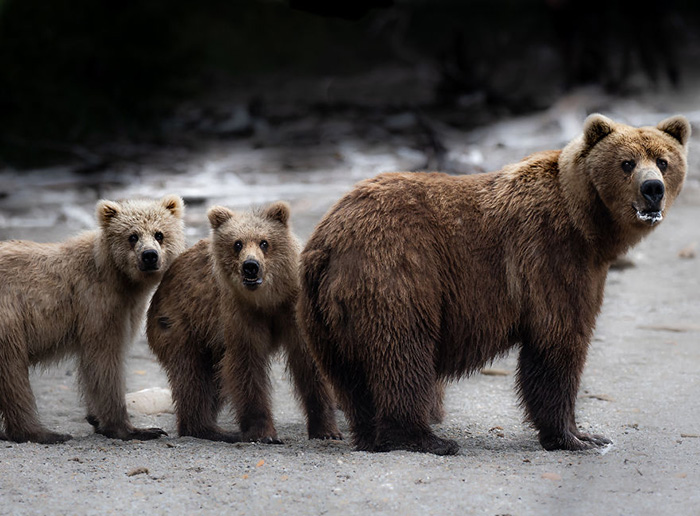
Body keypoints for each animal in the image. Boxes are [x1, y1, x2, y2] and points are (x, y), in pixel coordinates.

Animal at [296, 114, 688, 456]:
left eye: (664, 161)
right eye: (626, 163)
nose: (652, 189)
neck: (588, 226)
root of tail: (326, 240)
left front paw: (587, 434)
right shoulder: (550, 255)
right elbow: (557, 341)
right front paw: (574, 437)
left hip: (324, 315)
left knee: (350, 374)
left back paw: (370, 434)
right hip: (396, 272)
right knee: (402, 352)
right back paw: (428, 439)